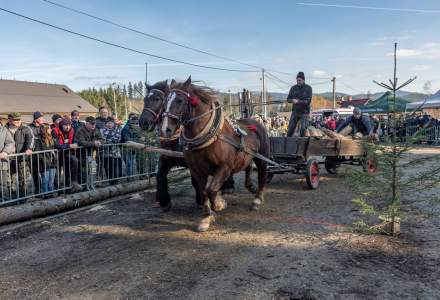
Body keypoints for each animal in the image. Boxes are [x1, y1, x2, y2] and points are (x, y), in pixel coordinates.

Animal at [160, 77, 266, 232]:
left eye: (179, 100)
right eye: (165, 101)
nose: (165, 130)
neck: (210, 136)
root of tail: (255, 121)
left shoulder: (224, 167)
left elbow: (212, 189)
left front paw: (219, 204)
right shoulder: (196, 170)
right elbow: (204, 191)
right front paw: (206, 217)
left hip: (263, 157)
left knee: (262, 175)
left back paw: (257, 199)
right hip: (246, 155)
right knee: (247, 167)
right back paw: (251, 186)